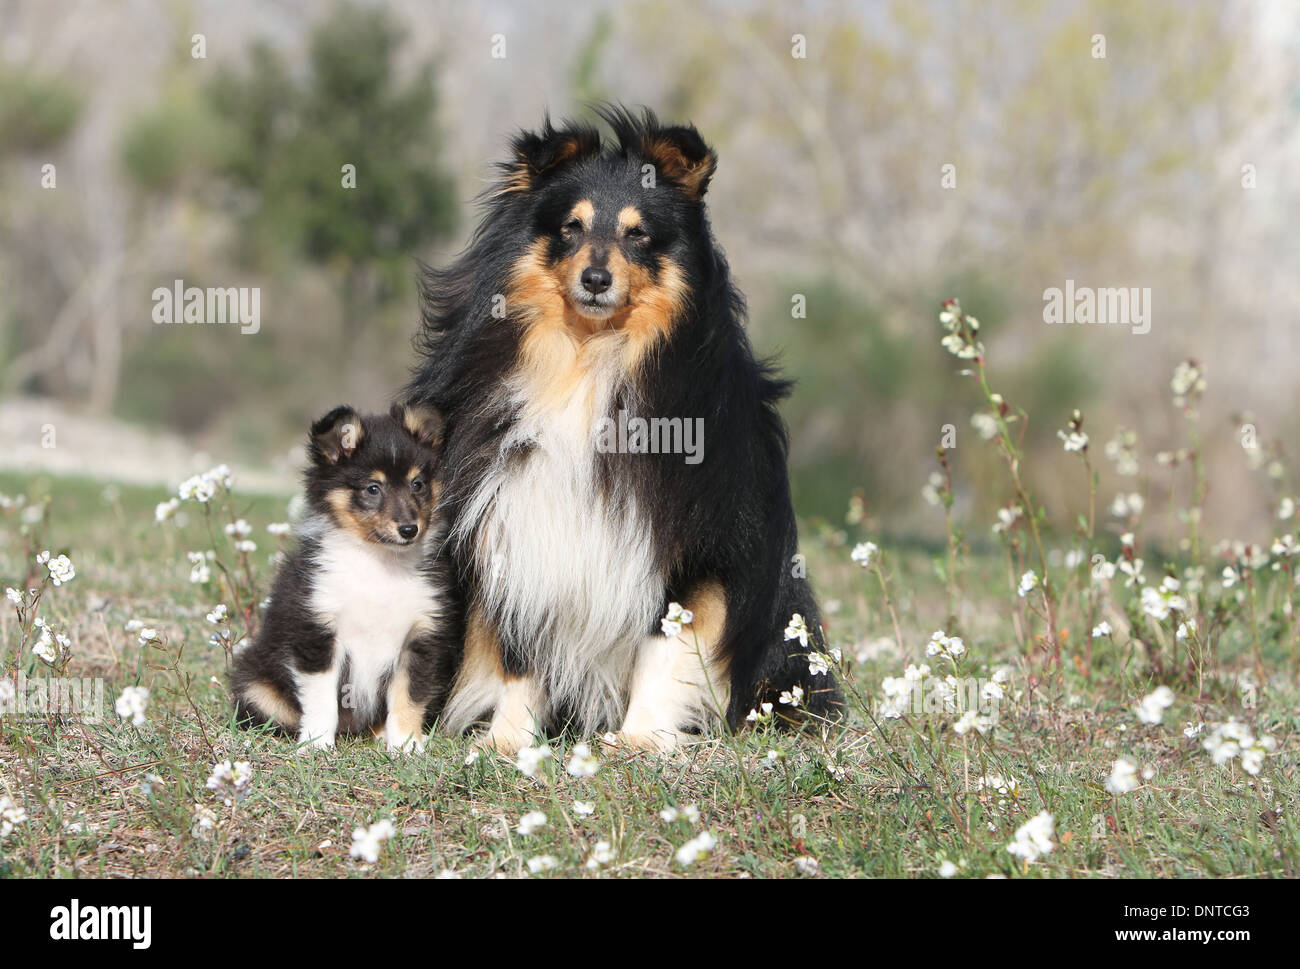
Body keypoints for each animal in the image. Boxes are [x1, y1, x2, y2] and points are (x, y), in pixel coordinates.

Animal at [230, 403, 462, 754]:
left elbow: (408, 697)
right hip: (254, 683)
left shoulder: (420, 638)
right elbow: (321, 699)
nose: (409, 529)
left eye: (418, 484)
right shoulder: (317, 632)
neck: (379, 563)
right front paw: (316, 746)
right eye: (373, 489)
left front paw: (406, 747)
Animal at [405, 107, 842, 754]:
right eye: (570, 227)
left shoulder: (697, 537)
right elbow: (518, 649)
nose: (594, 279)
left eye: (638, 235)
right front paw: (508, 743)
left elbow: (669, 644)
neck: (590, 358)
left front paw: (639, 742)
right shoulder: (513, 518)